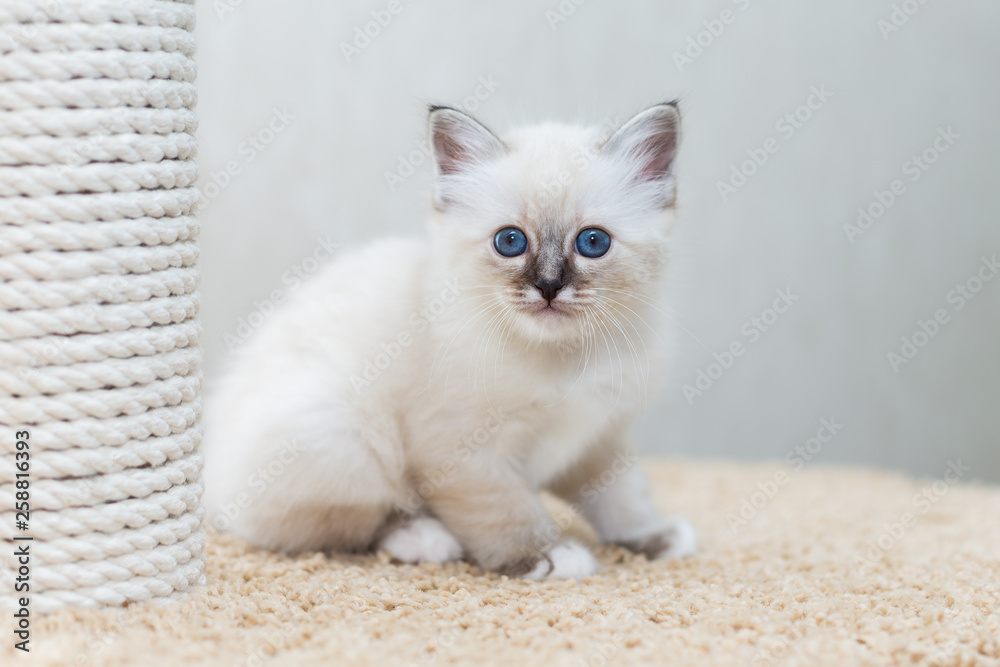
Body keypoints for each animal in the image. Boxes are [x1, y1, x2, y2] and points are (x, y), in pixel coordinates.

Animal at [205, 103, 696, 580]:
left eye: (593, 242)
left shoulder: (599, 436)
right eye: (510, 241)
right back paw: (423, 539)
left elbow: (623, 496)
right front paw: (547, 556)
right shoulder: (463, 451)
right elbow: (505, 508)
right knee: (336, 525)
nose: (548, 286)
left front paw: (653, 537)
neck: (567, 359)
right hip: (342, 437)